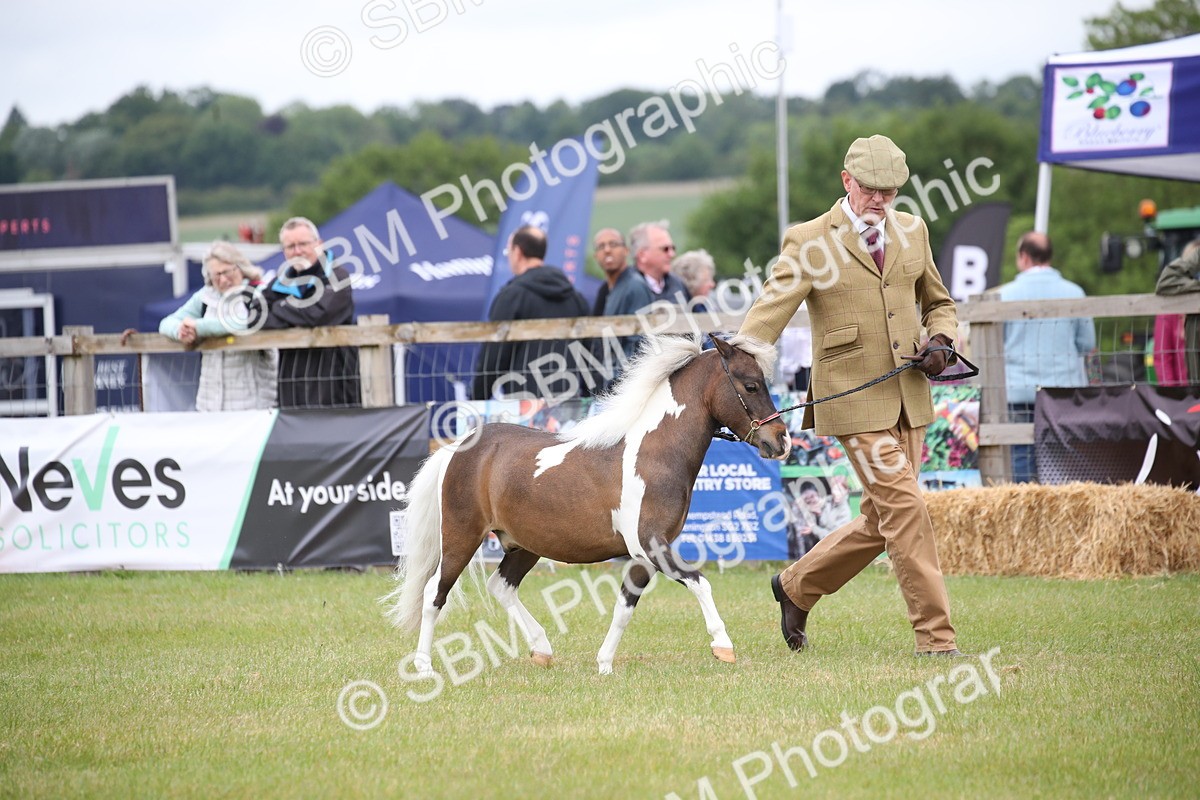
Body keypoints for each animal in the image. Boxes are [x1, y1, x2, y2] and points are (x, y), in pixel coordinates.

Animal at [382, 333, 791, 675]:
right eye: (751, 385)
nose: (781, 441)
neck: (654, 453)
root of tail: (459, 446)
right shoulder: (652, 545)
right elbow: (700, 582)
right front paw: (723, 646)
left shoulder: (643, 556)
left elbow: (625, 608)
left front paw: (604, 665)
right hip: (460, 537)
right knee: (434, 593)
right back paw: (424, 667)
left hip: (525, 544)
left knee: (501, 587)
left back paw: (542, 649)